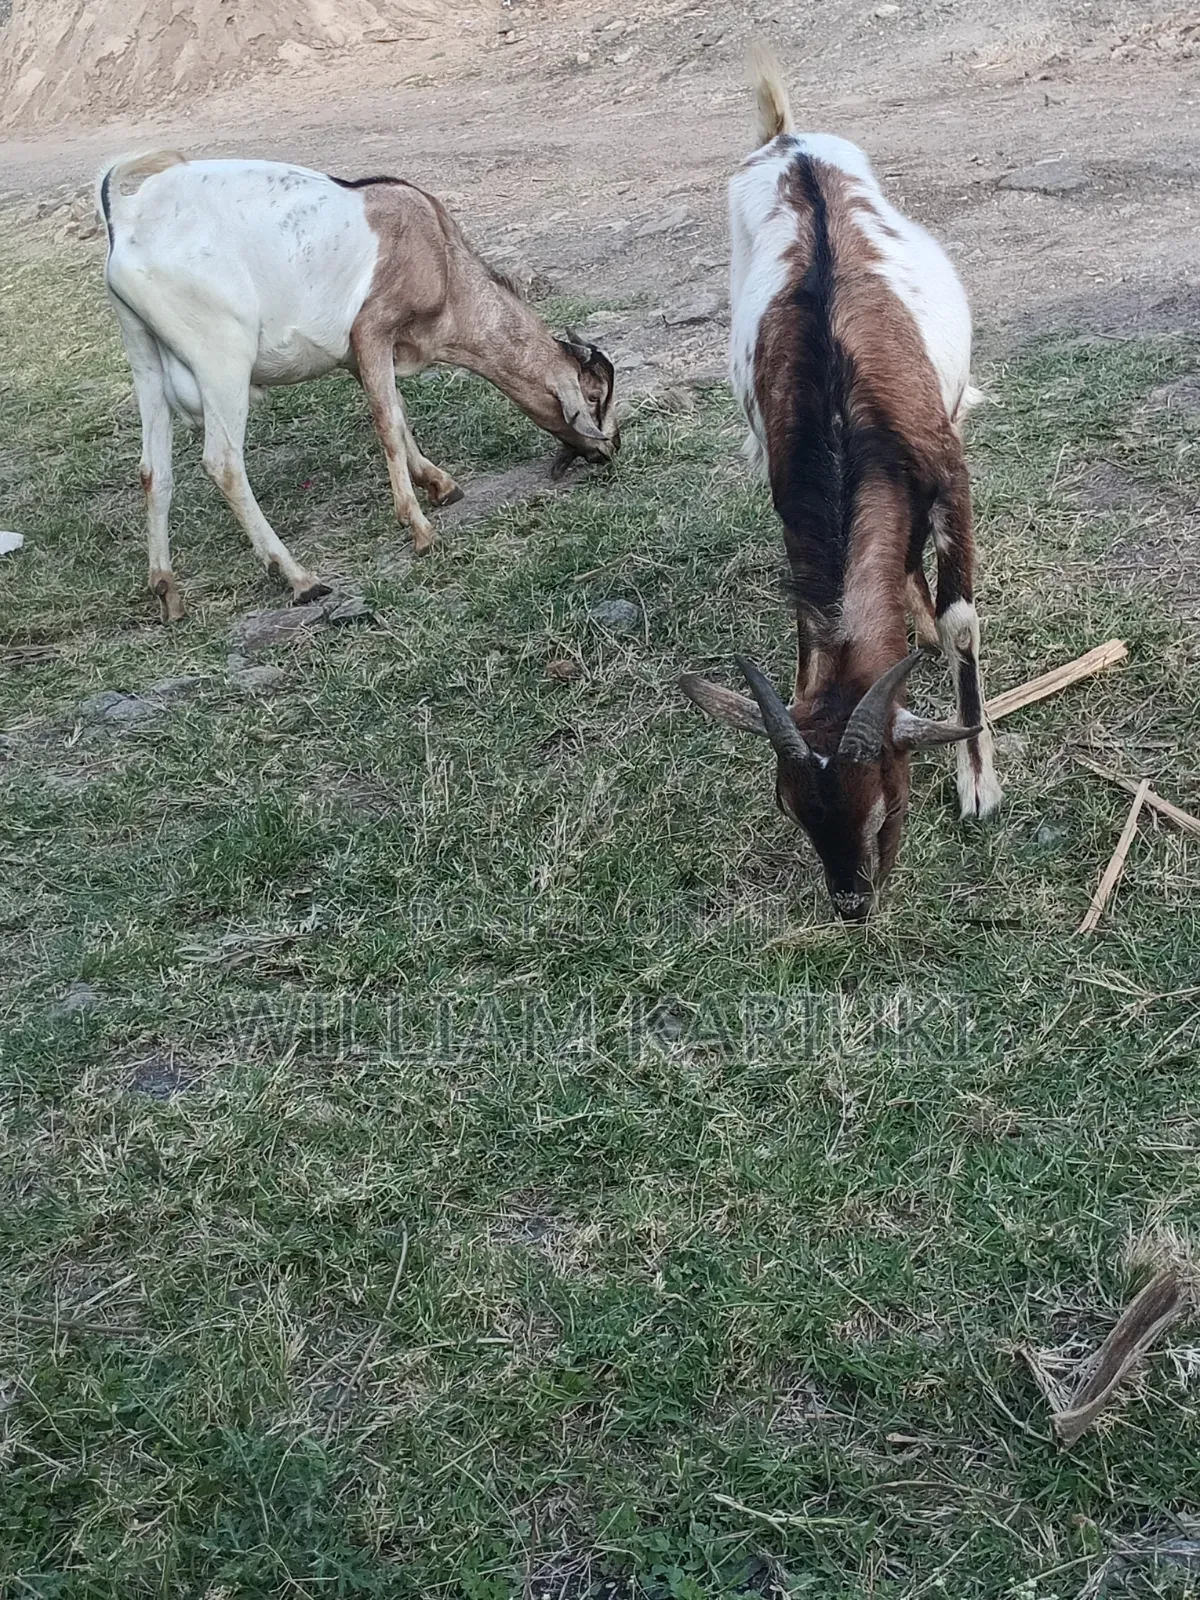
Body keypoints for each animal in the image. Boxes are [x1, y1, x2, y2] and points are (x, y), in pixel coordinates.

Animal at [96, 151, 619, 620]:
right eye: (594, 397)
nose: (607, 451)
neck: (440, 256)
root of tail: (127, 222)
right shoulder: (372, 328)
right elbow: (387, 422)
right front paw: (420, 528)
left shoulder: (362, 355)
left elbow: (397, 414)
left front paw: (441, 484)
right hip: (221, 359)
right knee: (223, 463)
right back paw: (299, 578)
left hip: (143, 356)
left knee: (153, 471)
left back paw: (167, 592)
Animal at [681, 49, 1002, 921]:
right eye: (789, 807)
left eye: (889, 798)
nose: (853, 903)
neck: (844, 420)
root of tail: (787, 139)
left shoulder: (951, 472)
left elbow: (962, 622)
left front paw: (980, 782)